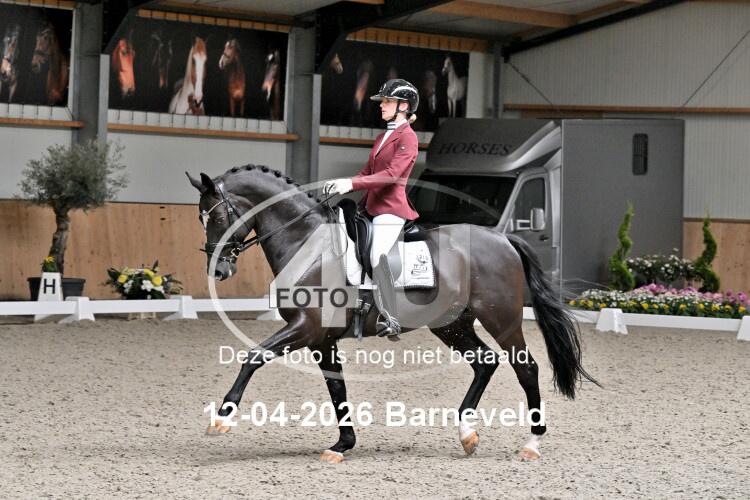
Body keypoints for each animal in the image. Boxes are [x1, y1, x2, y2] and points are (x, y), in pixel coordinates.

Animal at [186, 165, 597, 464]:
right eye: (201, 219)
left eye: (218, 216)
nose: (218, 270)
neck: (307, 242)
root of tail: (503, 238)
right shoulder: (322, 339)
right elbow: (337, 388)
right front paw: (342, 445)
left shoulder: (306, 328)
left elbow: (252, 357)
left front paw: (221, 419)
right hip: (452, 325)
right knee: (485, 362)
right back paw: (466, 434)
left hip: (502, 319)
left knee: (525, 368)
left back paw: (532, 444)